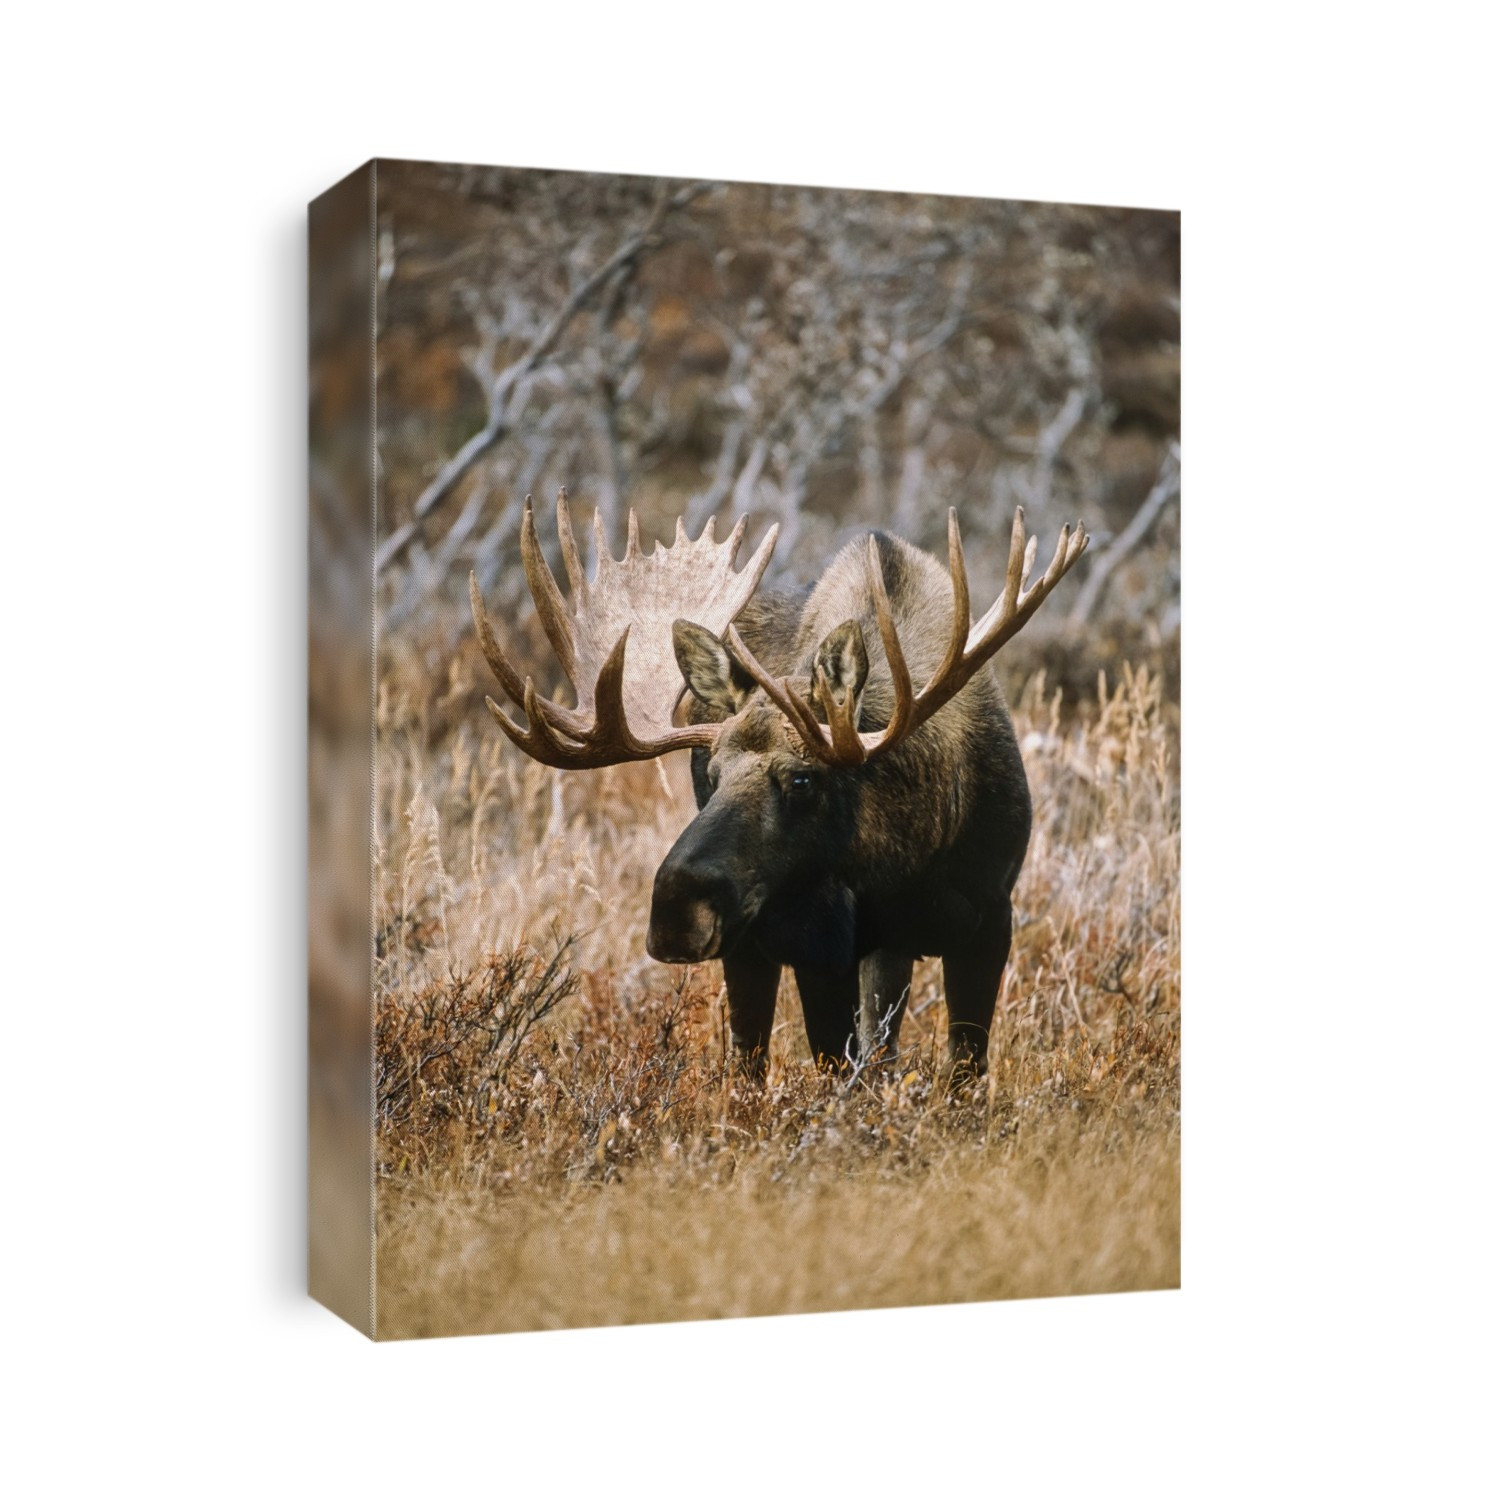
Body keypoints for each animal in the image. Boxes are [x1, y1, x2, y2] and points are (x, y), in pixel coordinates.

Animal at [468, 489, 1088, 1081]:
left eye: (802, 778)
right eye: (711, 774)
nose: (675, 910)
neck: (910, 851)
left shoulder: (989, 919)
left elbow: (962, 1072)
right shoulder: (816, 942)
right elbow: (840, 1071)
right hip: (752, 942)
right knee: (750, 1059)